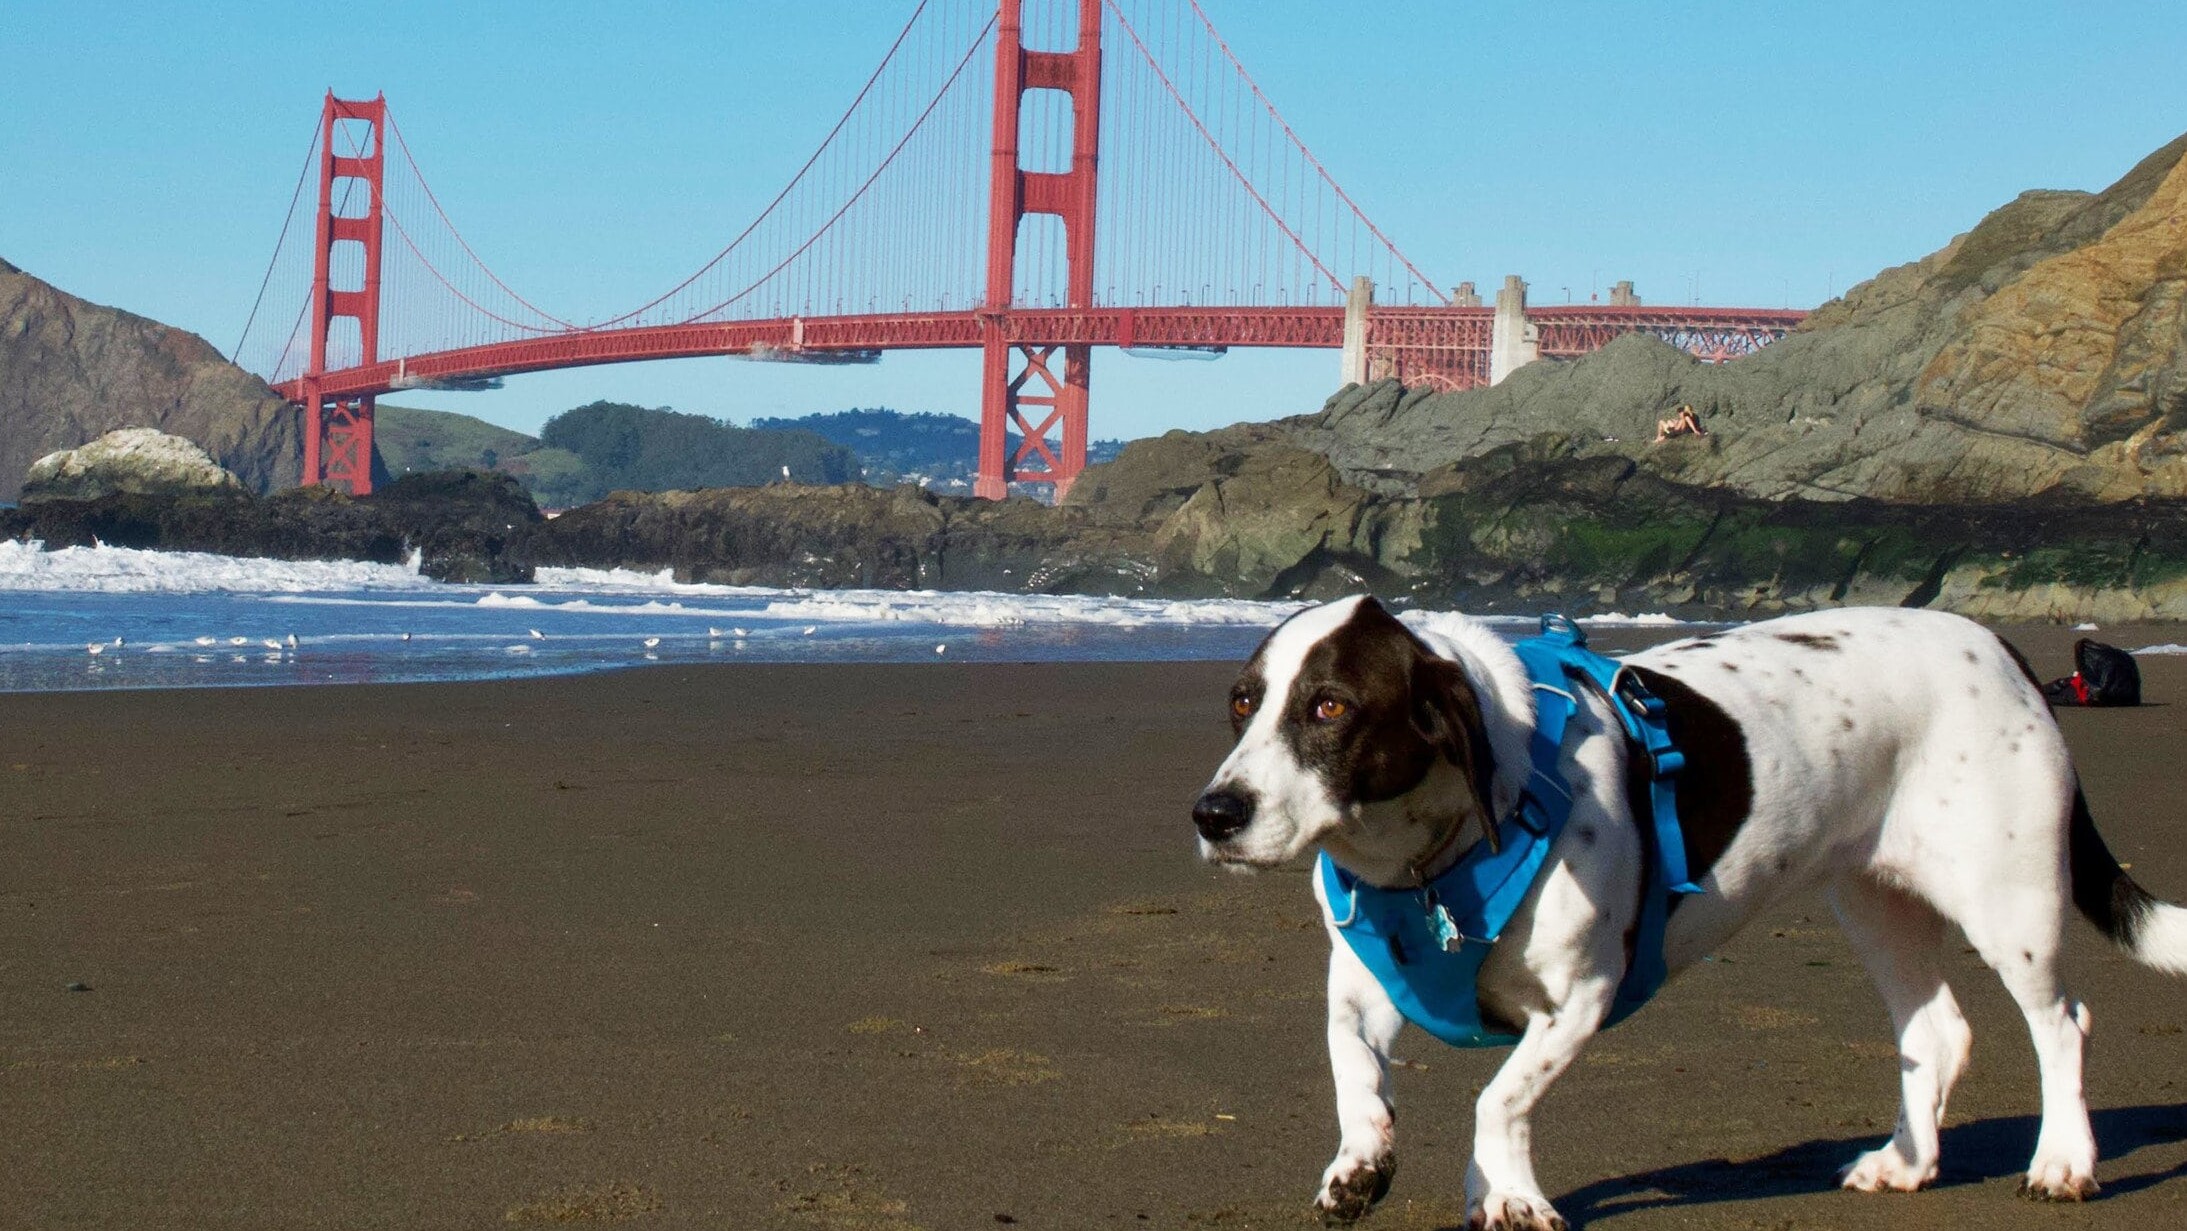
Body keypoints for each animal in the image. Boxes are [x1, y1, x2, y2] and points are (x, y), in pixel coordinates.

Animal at [1198, 594, 2187, 1224]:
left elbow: (1497, 1097)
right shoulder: (1362, 984)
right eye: (1242, 701)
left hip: (2007, 899)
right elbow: (1353, 1070)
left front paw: (1507, 1191)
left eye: (1331, 705)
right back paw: (1904, 1162)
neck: (1432, 863)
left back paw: (2062, 1161)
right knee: (1936, 1032)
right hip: (1873, 900)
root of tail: (1996, 645)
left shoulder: (1581, 996)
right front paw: (1361, 1162)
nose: (1213, 814)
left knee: (2060, 1023)